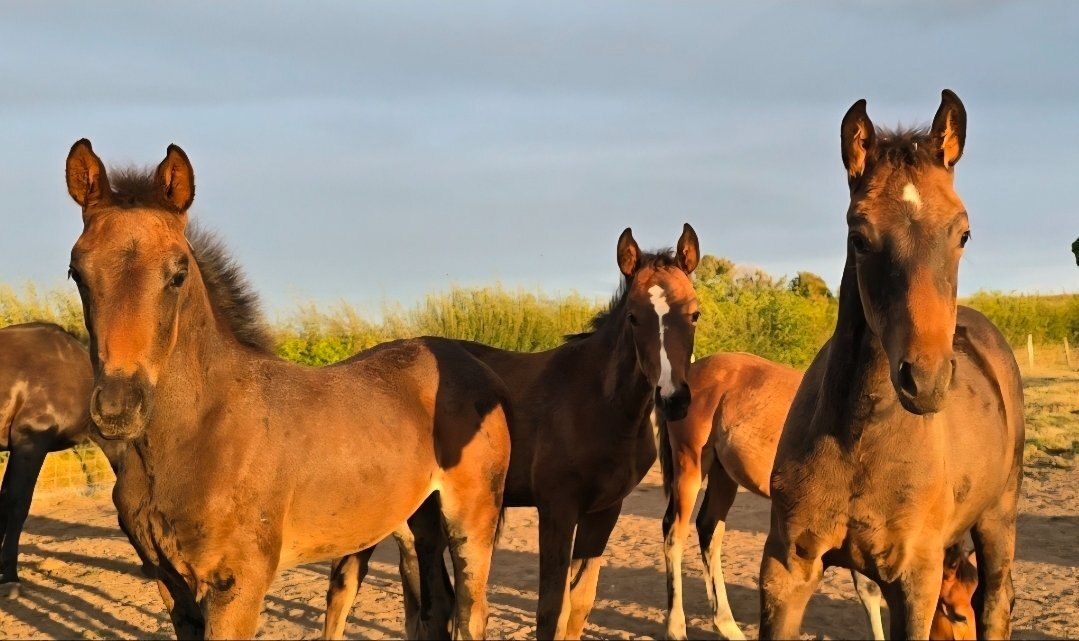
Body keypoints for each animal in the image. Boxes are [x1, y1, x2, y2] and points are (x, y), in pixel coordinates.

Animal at [63, 139, 512, 640]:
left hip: (472, 519)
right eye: (77, 272)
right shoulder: (169, 584)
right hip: (412, 522)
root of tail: (476, 366)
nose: (117, 408)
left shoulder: (237, 584)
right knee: (435, 607)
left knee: (470, 613)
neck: (200, 434)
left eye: (178, 274)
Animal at [323, 224, 703, 640]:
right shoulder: (557, 508)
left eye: (695, 314)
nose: (673, 399)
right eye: (633, 317)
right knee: (345, 587)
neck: (600, 404)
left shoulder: (605, 510)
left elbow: (580, 604)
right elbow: (552, 609)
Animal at [656, 351, 887, 640]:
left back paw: (728, 626)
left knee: (709, 530)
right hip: (690, 463)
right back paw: (676, 629)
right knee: (675, 533)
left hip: (723, 474)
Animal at [759, 90, 1025, 639]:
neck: (859, 441)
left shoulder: (915, 580)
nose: (925, 380)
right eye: (859, 236)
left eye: (963, 234)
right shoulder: (787, 567)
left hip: (998, 517)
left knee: (995, 601)